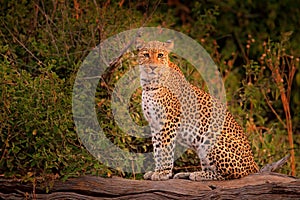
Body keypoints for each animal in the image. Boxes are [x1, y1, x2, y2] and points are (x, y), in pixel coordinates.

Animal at [136, 38, 288, 181]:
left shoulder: (168, 123)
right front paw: (156, 171)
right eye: (146, 54)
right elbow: (157, 150)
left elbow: (165, 150)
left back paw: (197, 175)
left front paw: (162, 173)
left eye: (160, 55)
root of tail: (253, 165)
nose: (152, 67)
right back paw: (188, 174)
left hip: (210, 137)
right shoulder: (155, 124)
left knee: (231, 175)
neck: (149, 84)